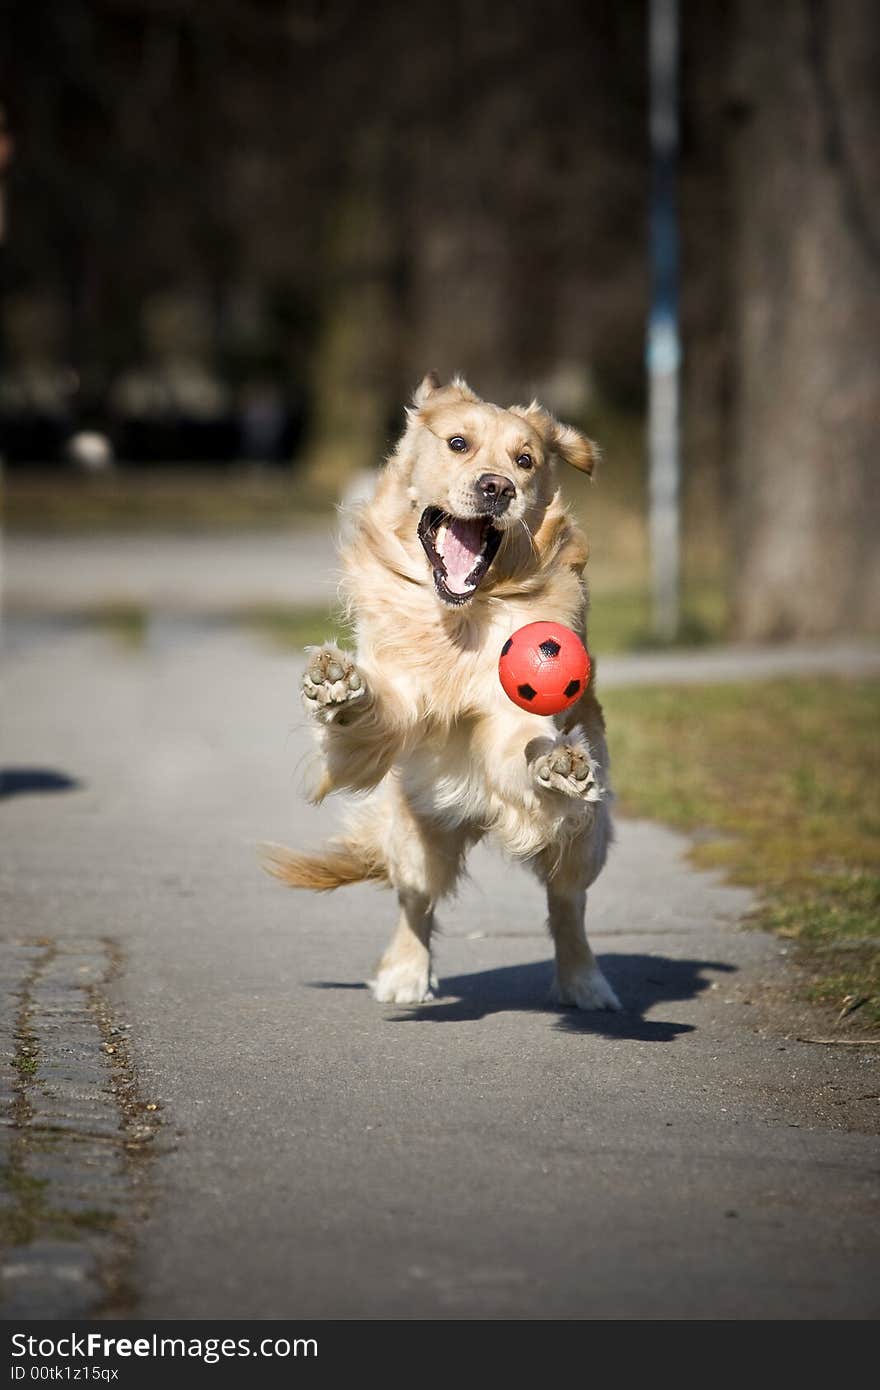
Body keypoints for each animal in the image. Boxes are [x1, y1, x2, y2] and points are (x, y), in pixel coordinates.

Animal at [264, 372, 620, 1011]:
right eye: (458, 443)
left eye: (525, 460)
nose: (497, 487)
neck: (460, 615)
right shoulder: (398, 699)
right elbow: (373, 708)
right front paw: (338, 684)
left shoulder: (513, 723)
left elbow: (527, 750)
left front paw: (555, 762)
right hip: (414, 832)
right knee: (416, 900)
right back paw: (405, 974)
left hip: (587, 839)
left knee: (567, 904)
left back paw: (585, 980)